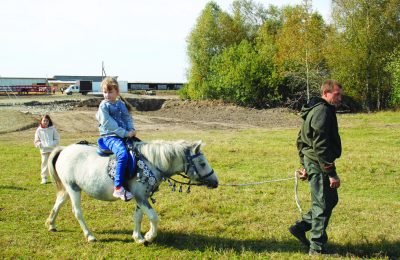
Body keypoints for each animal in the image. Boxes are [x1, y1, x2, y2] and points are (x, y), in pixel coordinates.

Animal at [46, 140, 219, 244]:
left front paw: (138, 237)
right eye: (202, 163)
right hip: (73, 188)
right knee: (77, 212)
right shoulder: (141, 197)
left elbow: (138, 216)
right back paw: (89, 236)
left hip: (68, 189)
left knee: (58, 203)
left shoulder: (141, 196)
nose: (216, 182)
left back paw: (51, 224)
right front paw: (149, 236)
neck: (150, 163)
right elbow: (153, 217)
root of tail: (64, 149)